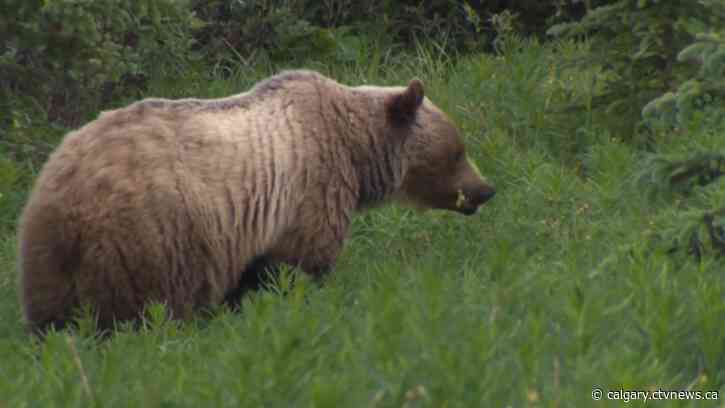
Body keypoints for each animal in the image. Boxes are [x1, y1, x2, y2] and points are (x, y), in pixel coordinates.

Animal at [18, 70, 495, 335]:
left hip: (44, 255)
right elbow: (298, 265)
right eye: (458, 151)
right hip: (148, 236)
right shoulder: (309, 189)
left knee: (51, 317)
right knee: (145, 307)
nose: (484, 189)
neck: (358, 153)